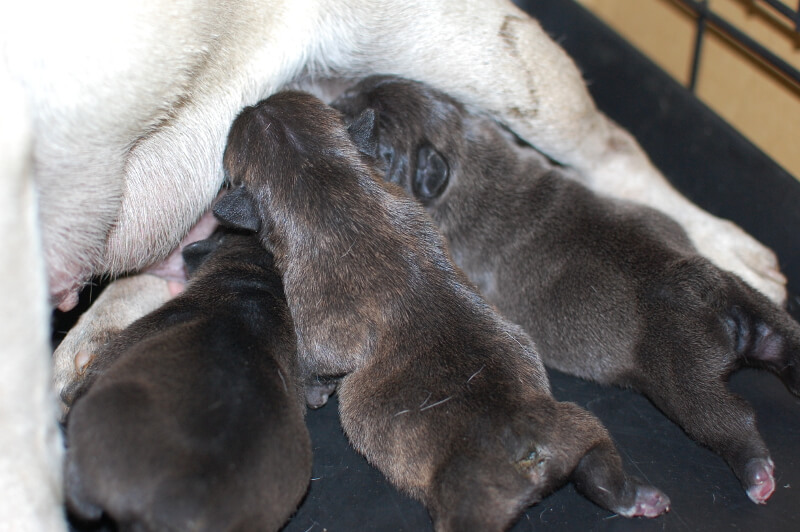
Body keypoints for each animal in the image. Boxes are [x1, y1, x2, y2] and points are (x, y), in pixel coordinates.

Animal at [216, 92, 672, 532]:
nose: (255, 103)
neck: (323, 182)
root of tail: (527, 448)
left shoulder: (318, 317)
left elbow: (318, 364)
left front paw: (315, 393)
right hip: (578, 427)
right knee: (599, 464)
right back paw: (636, 498)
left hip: (466, 502)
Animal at [332, 75, 800, 508]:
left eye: (377, 137)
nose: (334, 98)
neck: (472, 160)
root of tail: (704, 288)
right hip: (756, 309)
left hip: (684, 376)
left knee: (727, 419)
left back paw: (756, 472)